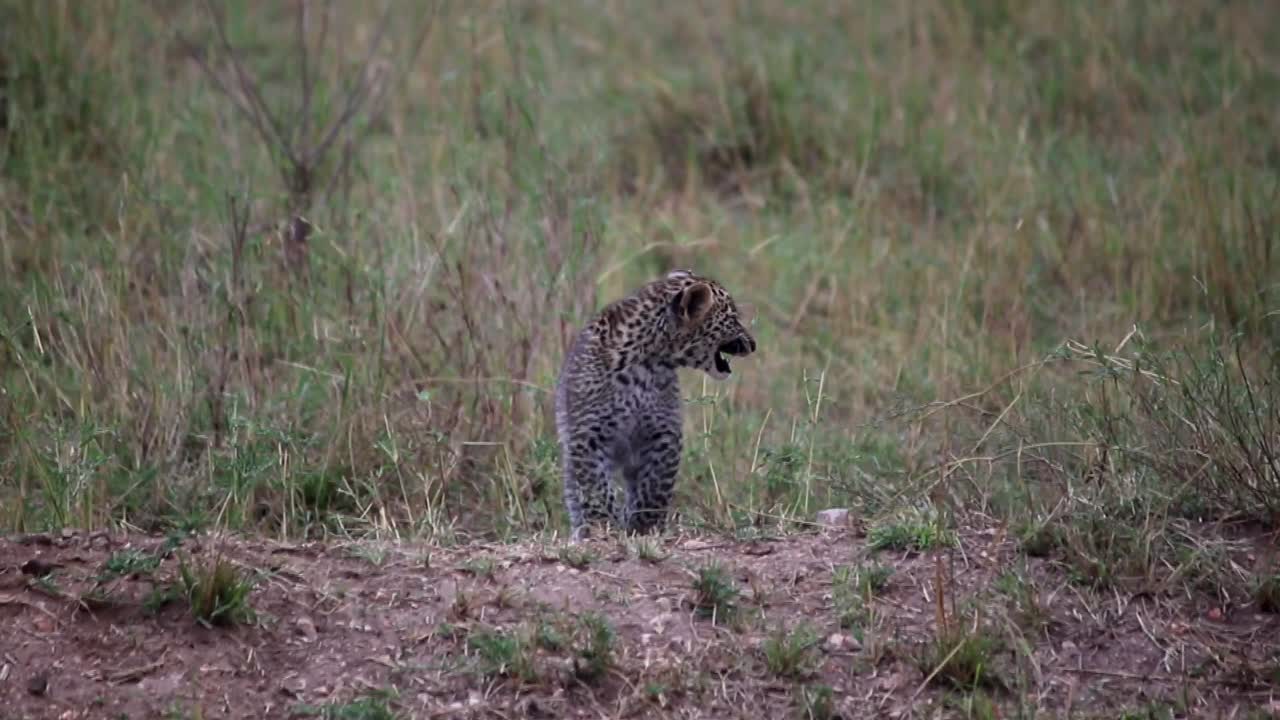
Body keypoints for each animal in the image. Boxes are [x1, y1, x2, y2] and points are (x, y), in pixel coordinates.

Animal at [555, 269, 757, 540]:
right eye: (733, 318)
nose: (753, 344)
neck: (648, 361)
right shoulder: (588, 436)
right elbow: (596, 489)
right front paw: (604, 526)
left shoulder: (663, 433)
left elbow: (655, 484)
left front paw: (645, 527)